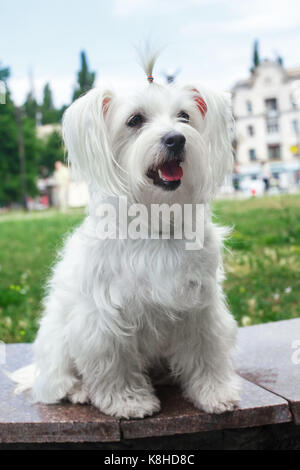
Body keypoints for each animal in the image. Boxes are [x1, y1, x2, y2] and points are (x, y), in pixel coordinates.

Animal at [12, 54, 240, 418]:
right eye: (135, 120)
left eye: (184, 116)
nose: (176, 139)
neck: (153, 222)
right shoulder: (104, 319)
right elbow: (114, 364)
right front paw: (129, 401)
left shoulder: (200, 308)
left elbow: (207, 354)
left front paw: (215, 393)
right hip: (56, 342)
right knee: (54, 384)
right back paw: (78, 391)